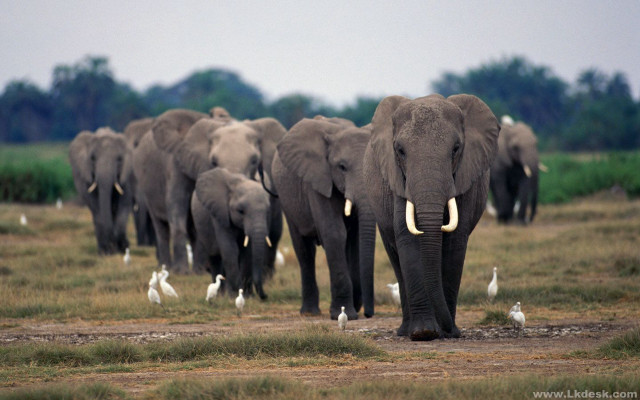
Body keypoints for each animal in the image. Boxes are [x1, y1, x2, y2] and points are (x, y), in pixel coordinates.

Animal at [133, 107, 285, 274]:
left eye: (254, 160)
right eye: (213, 162)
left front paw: (200, 272)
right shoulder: (177, 163)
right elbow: (177, 205)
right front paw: (183, 272)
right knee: (161, 227)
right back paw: (166, 268)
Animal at [192, 168, 275, 299]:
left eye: (267, 211)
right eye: (241, 211)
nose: (265, 296)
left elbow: (248, 253)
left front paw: (247, 296)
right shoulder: (219, 212)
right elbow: (230, 250)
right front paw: (233, 295)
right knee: (214, 257)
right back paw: (220, 295)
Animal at [272, 118, 376, 320]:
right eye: (342, 167)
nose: (368, 314)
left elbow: (355, 238)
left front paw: (351, 310)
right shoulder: (317, 180)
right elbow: (334, 232)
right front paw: (344, 314)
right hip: (286, 199)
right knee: (304, 250)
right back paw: (309, 312)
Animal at [363, 94, 500, 341]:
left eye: (456, 149)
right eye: (400, 150)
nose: (450, 329)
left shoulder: (464, 178)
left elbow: (455, 241)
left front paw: (447, 332)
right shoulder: (399, 181)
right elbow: (407, 236)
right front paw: (424, 333)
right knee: (395, 258)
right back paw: (405, 331)